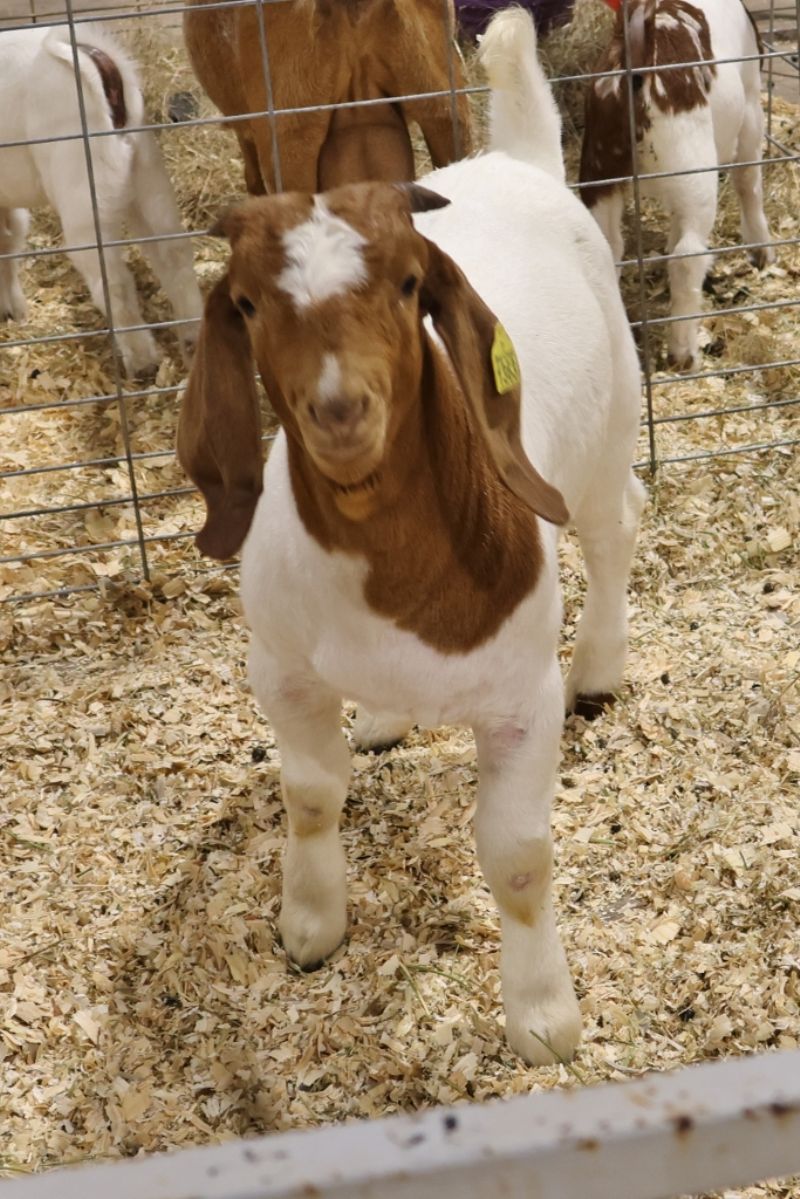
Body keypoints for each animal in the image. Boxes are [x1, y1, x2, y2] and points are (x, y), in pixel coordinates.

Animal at [580, 0, 773, 370]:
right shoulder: (752, 106)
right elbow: (749, 180)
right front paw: (762, 251)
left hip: (599, 168)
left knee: (608, 246)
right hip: (694, 167)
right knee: (687, 256)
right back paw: (684, 354)